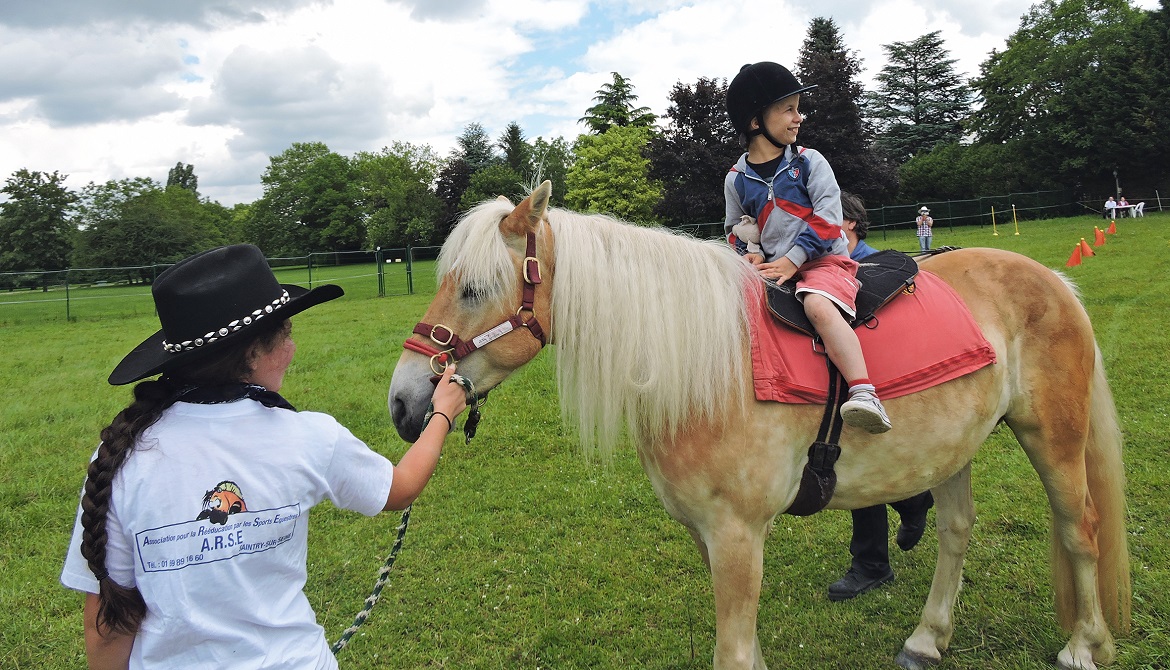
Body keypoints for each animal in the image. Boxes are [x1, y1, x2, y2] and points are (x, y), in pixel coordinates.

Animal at [388, 181, 1127, 668]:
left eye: (475, 288)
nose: (403, 402)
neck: (708, 368)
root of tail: (1054, 281)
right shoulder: (705, 534)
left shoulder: (739, 535)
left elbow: (734, 653)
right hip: (950, 449)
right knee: (955, 532)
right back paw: (926, 639)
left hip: (1054, 438)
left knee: (1081, 529)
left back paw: (1082, 647)